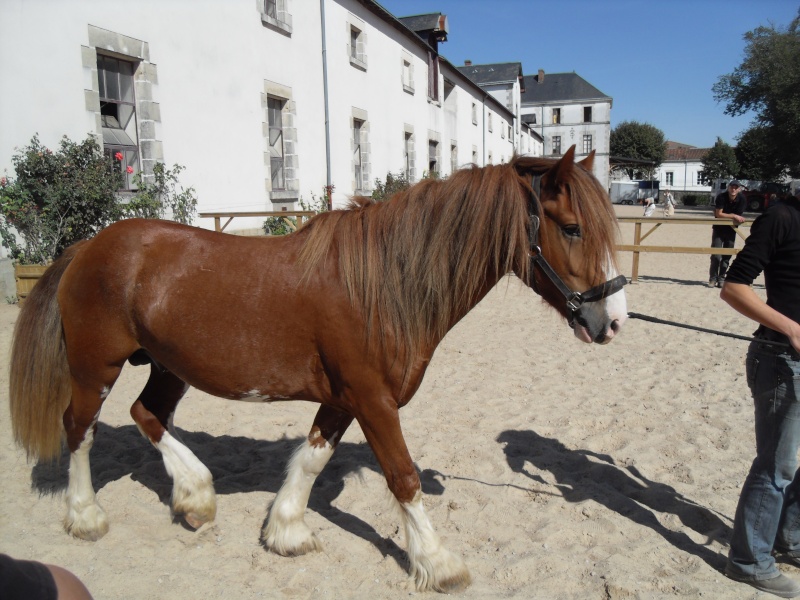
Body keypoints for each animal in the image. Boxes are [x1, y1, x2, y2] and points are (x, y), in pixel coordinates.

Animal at [9, 145, 628, 592]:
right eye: (571, 228)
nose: (614, 321)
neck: (385, 283)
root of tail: (88, 246)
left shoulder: (344, 399)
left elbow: (312, 457)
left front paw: (286, 531)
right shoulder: (373, 400)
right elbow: (403, 477)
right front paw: (437, 561)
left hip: (167, 367)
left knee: (146, 414)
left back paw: (196, 496)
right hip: (96, 367)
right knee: (80, 430)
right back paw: (86, 516)